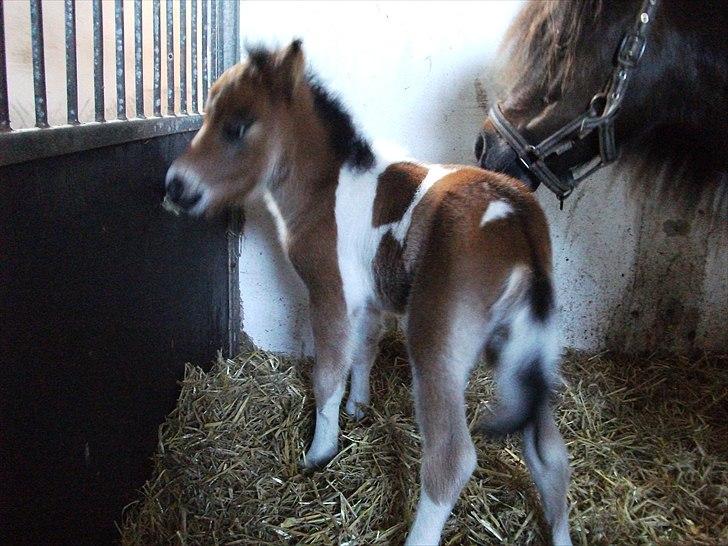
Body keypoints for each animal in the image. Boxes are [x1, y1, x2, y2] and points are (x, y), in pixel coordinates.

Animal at [165, 42, 576, 544]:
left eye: (237, 126)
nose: (175, 186)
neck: (327, 188)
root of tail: (518, 216)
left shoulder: (329, 292)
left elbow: (328, 375)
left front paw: (319, 452)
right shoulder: (367, 300)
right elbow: (364, 350)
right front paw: (359, 407)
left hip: (436, 339)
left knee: (452, 459)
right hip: (520, 345)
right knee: (550, 453)